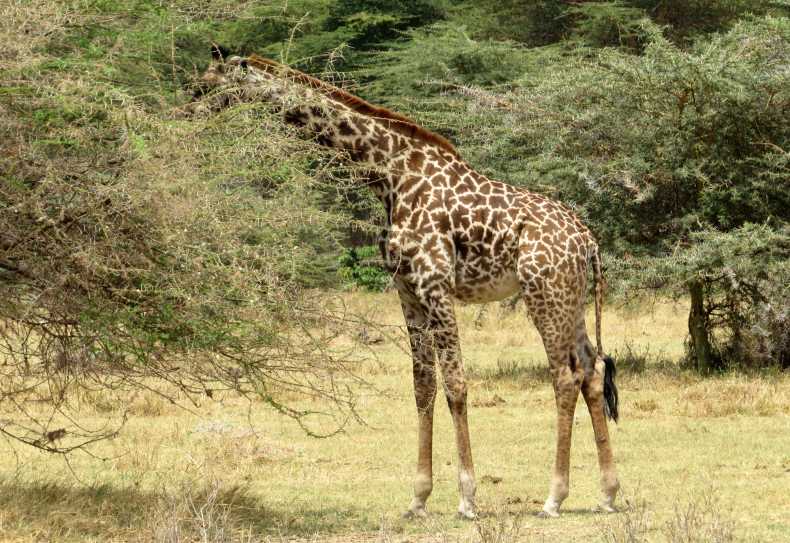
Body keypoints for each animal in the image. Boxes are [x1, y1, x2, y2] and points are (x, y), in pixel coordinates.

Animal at [186, 46, 621, 520]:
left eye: (205, 87)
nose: (183, 116)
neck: (388, 174)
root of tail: (588, 240)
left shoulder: (435, 284)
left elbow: (456, 385)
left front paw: (467, 499)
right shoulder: (407, 289)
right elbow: (422, 386)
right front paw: (418, 498)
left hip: (543, 292)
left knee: (565, 376)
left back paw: (554, 497)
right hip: (569, 298)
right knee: (593, 370)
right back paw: (607, 493)